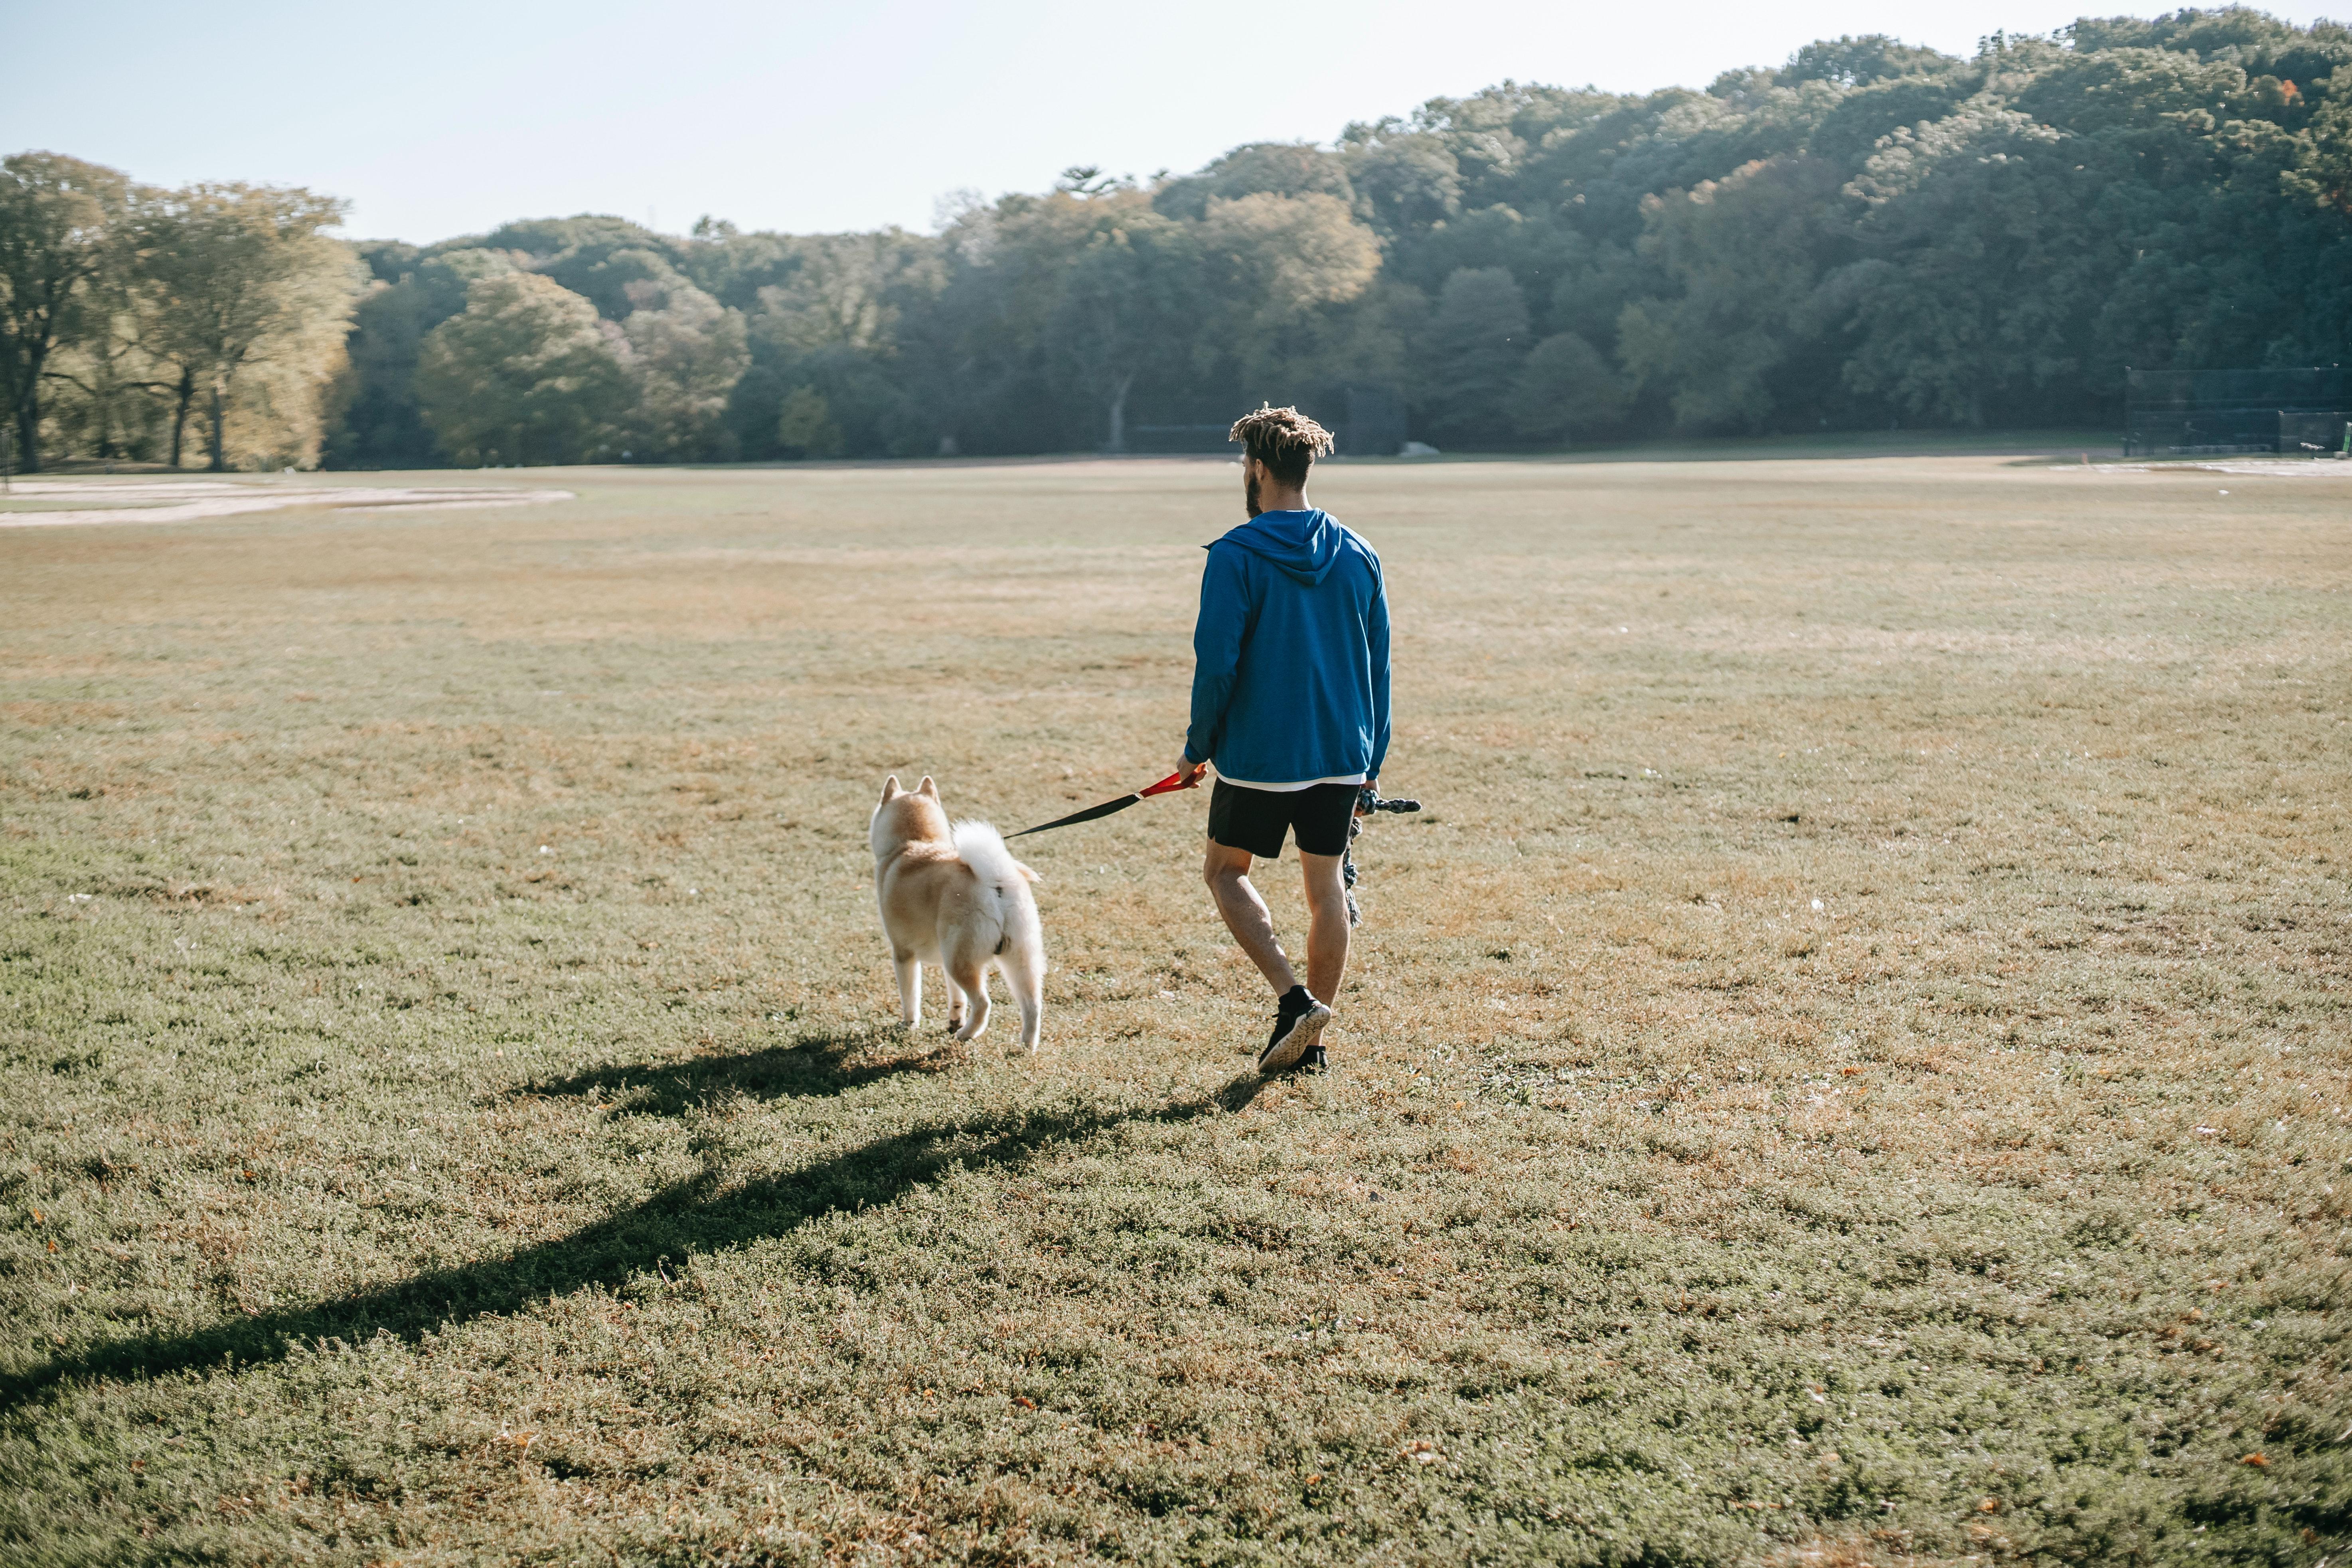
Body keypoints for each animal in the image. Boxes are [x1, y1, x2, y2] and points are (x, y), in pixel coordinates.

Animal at [870, 776, 1044, 1048]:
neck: (914, 842)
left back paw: (967, 1034)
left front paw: (909, 1025)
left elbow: (910, 997)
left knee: (983, 1003)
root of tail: (995, 880)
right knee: (1033, 1006)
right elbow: (957, 997)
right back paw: (1026, 1046)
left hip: (961, 961)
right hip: (1018, 958)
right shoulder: (943, 957)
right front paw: (954, 1019)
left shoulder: (903, 954)